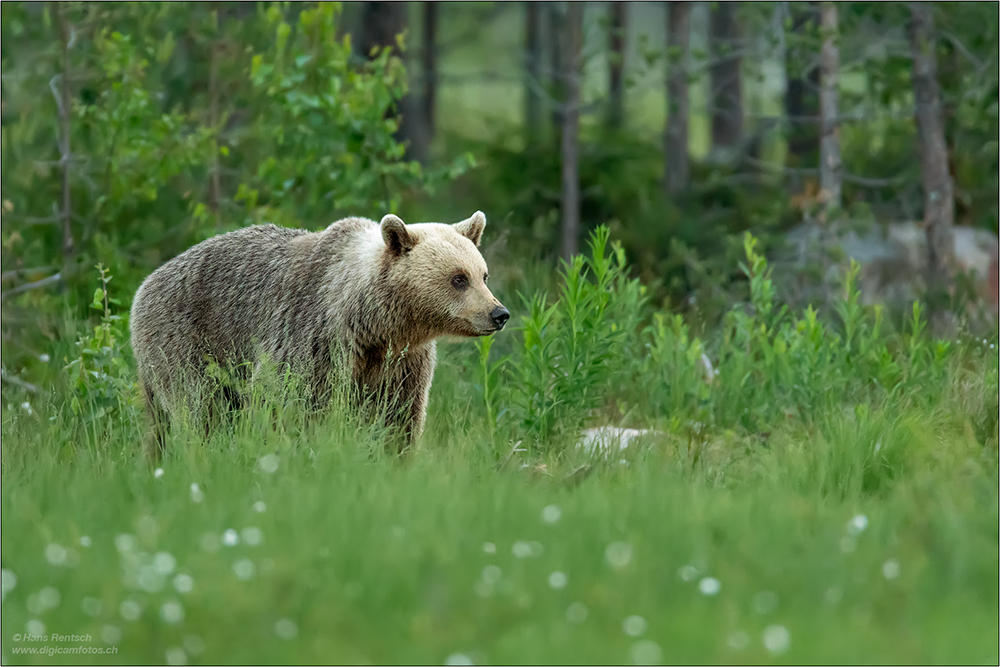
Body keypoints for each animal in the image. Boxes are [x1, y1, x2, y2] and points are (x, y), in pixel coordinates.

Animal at [129, 211, 508, 456]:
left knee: (160, 425)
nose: (499, 313)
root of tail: (145, 283)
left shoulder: (401, 362)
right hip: (186, 339)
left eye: (483, 274)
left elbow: (398, 416)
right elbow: (286, 401)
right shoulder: (312, 337)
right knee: (200, 408)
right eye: (459, 278)